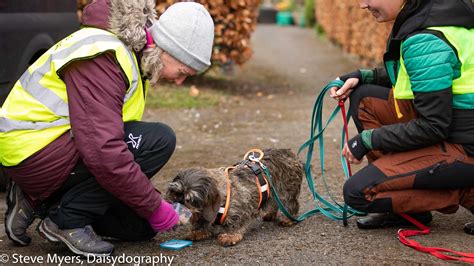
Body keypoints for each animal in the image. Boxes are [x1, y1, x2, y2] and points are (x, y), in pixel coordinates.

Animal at [165, 149, 304, 246]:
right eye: (175, 192)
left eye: (190, 199)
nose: (174, 204)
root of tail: (290, 154)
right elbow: (201, 222)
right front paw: (198, 231)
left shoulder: (240, 210)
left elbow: (235, 223)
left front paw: (230, 236)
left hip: (287, 192)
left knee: (292, 205)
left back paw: (289, 219)